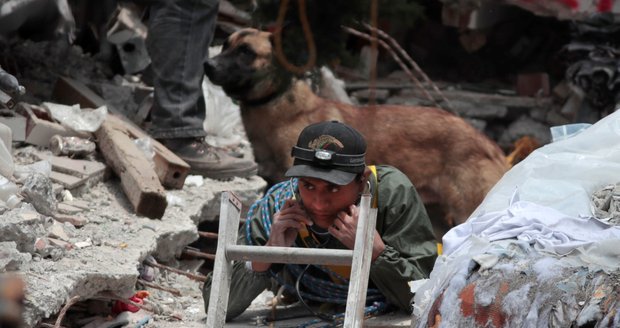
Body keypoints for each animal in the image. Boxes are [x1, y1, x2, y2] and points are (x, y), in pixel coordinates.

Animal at [205, 28, 508, 236]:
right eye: (226, 46)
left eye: (246, 52)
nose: (208, 66)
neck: (279, 108)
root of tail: (489, 145)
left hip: (467, 210)